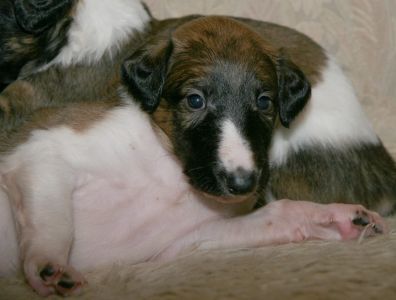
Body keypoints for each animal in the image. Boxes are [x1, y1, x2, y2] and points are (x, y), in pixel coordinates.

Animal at [0, 17, 386, 298]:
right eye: (195, 100)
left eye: (264, 101)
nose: (243, 183)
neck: (168, 170)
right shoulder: (40, 154)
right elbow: (53, 223)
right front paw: (50, 266)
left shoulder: (179, 246)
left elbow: (280, 212)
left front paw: (335, 218)